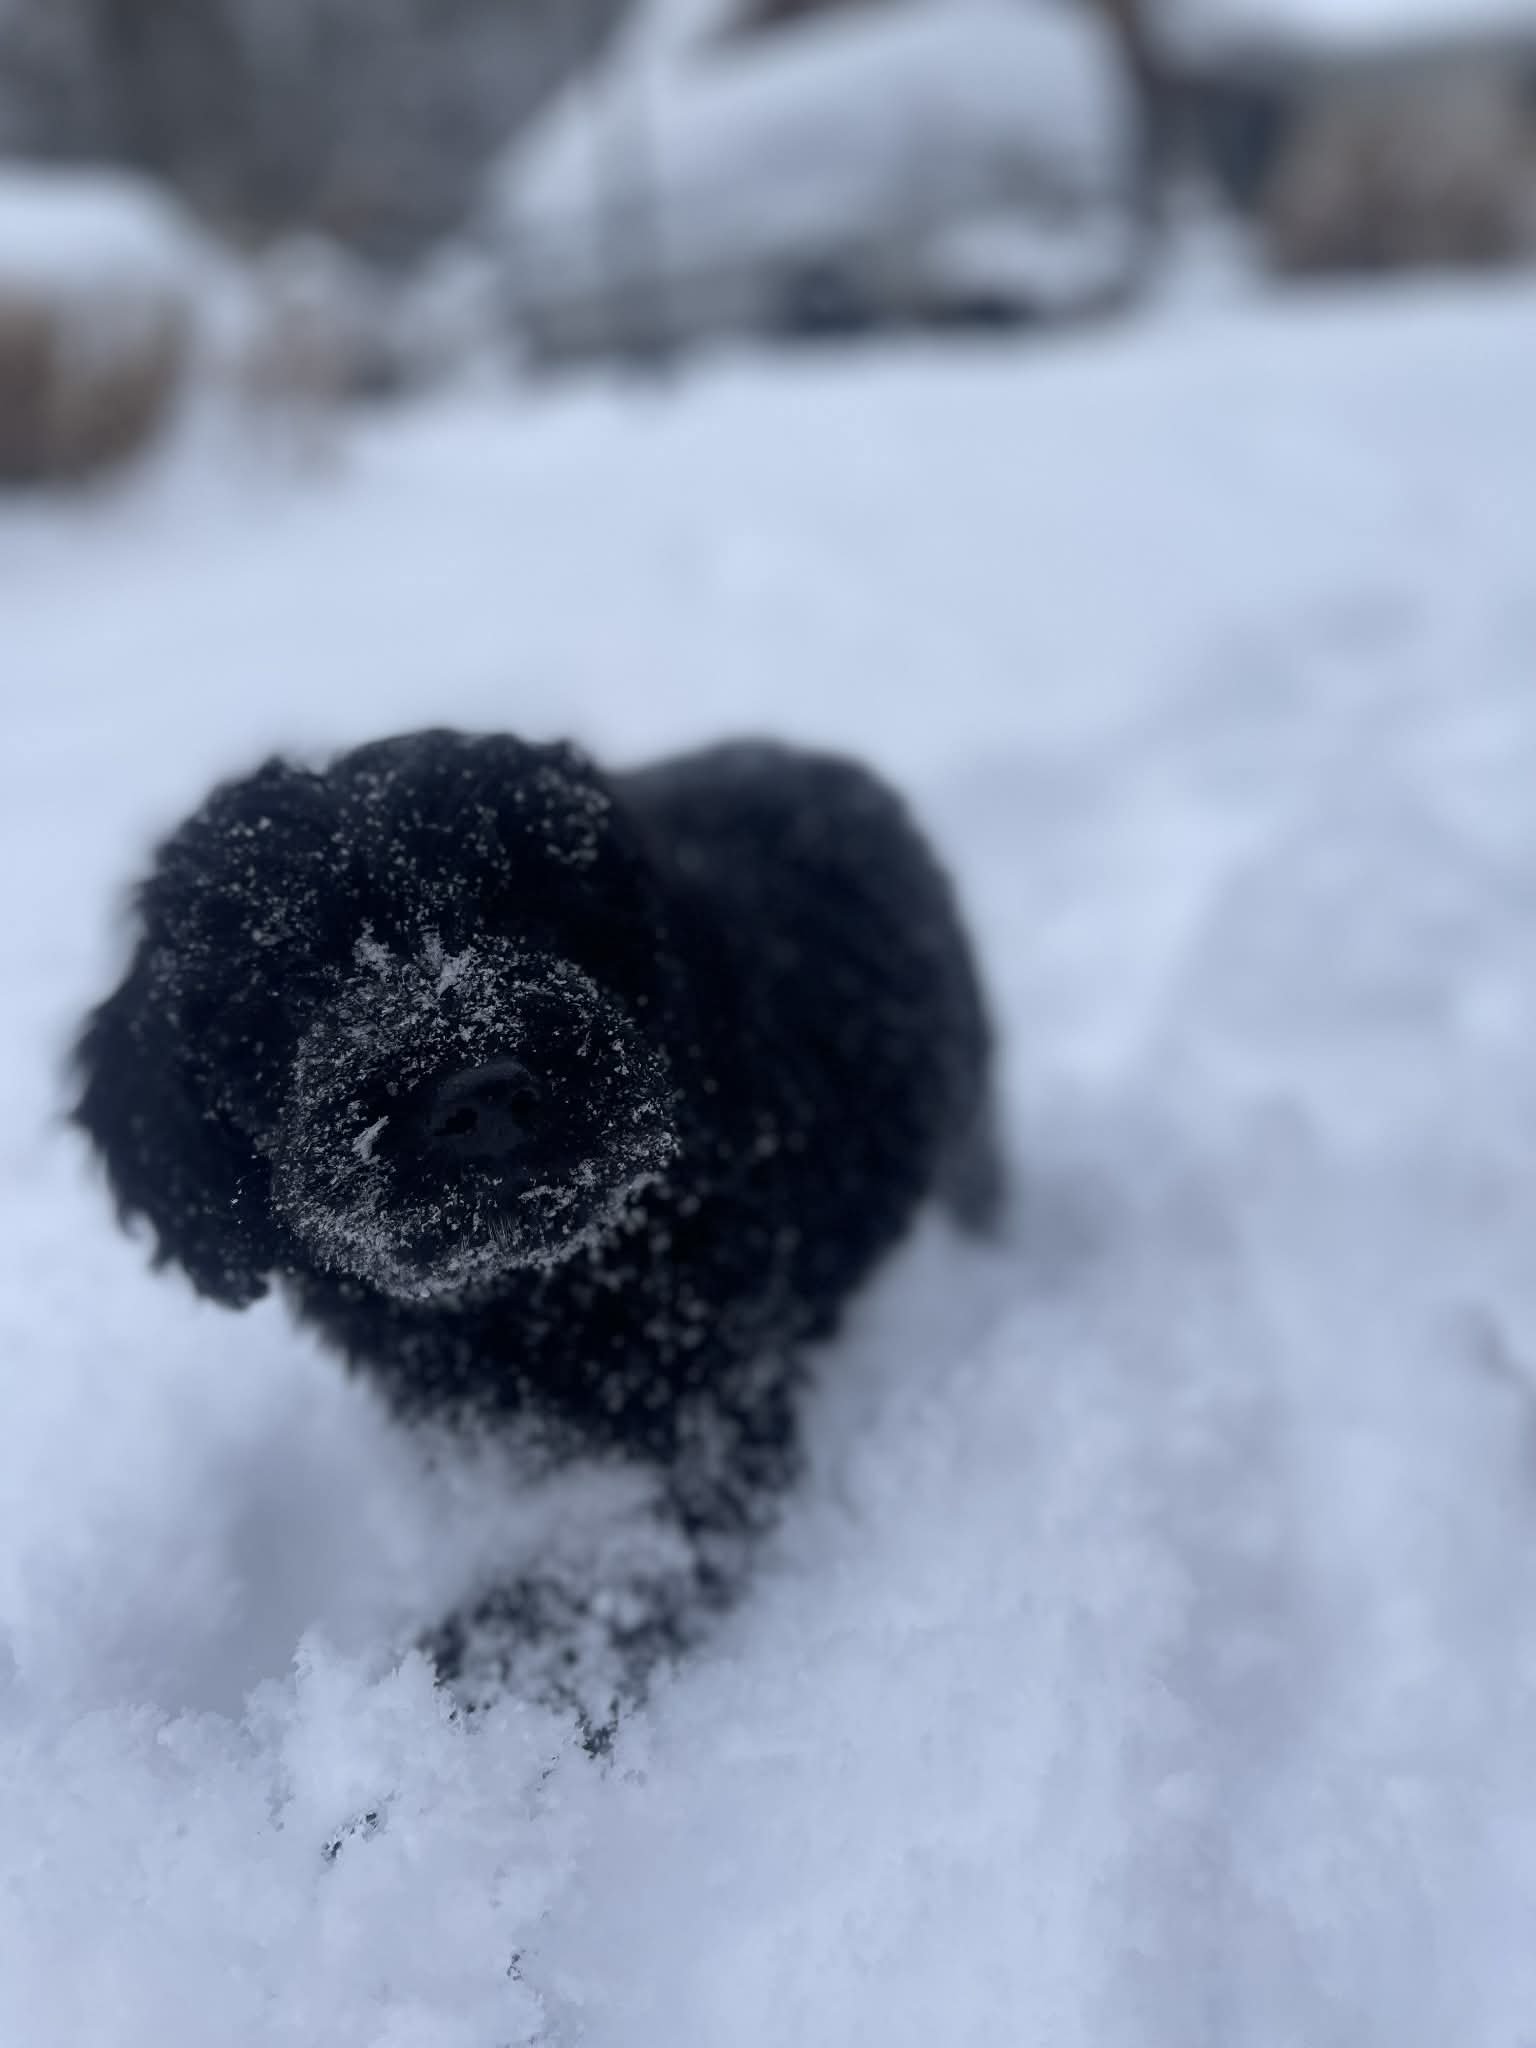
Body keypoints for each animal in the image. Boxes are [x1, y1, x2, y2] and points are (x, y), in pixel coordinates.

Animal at [74, 730, 1000, 1724]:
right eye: (293, 972)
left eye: (535, 913)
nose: (481, 1096)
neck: (528, 1289)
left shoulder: (698, 1427)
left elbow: (587, 1594)